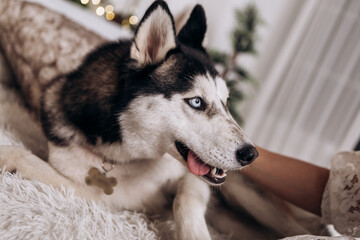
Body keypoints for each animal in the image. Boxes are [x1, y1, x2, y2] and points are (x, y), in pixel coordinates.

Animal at [0, 0, 262, 239]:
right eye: (196, 102)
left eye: (225, 103)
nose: (251, 154)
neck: (126, 153)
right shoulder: (96, 194)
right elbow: (26, 157)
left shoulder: (190, 178)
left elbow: (184, 199)